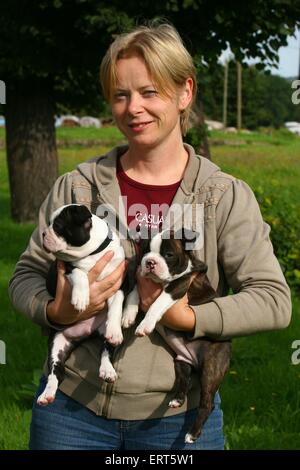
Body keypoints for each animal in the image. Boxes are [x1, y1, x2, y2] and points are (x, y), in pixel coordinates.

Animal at [37, 204, 132, 406]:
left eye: (58, 226)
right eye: (49, 223)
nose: (43, 233)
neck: (93, 253)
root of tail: (84, 333)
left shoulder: (119, 284)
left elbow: (116, 308)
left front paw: (115, 330)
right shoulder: (67, 267)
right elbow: (80, 273)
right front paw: (81, 298)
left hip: (103, 334)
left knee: (106, 350)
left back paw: (107, 369)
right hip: (56, 344)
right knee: (55, 372)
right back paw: (47, 394)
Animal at [123, 230, 231, 444]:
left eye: (169, 255)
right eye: (145, 250)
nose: (150, 262)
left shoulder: (178, 287)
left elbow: (157, 303)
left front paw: (145, 324)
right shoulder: (142, 281)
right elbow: (133, 293)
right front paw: (128, 315)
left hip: (211, 367)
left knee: (207, 404)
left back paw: (192, 433)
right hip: (181, 362)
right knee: (184, 381)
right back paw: (177, 399)